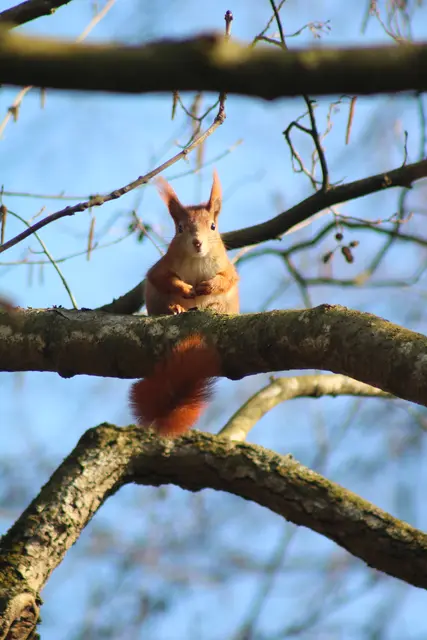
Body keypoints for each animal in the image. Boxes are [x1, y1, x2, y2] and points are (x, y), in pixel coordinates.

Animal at [129, 171, 239, 437]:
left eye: (213, 226)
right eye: (180, 228)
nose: (197, 242)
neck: (197, 260)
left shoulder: (227, 268)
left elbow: (226, 279)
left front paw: (207, 287)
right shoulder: (160, 269)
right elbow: (162, 279)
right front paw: (186, 290)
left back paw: (212, 307)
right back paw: (176, 308)